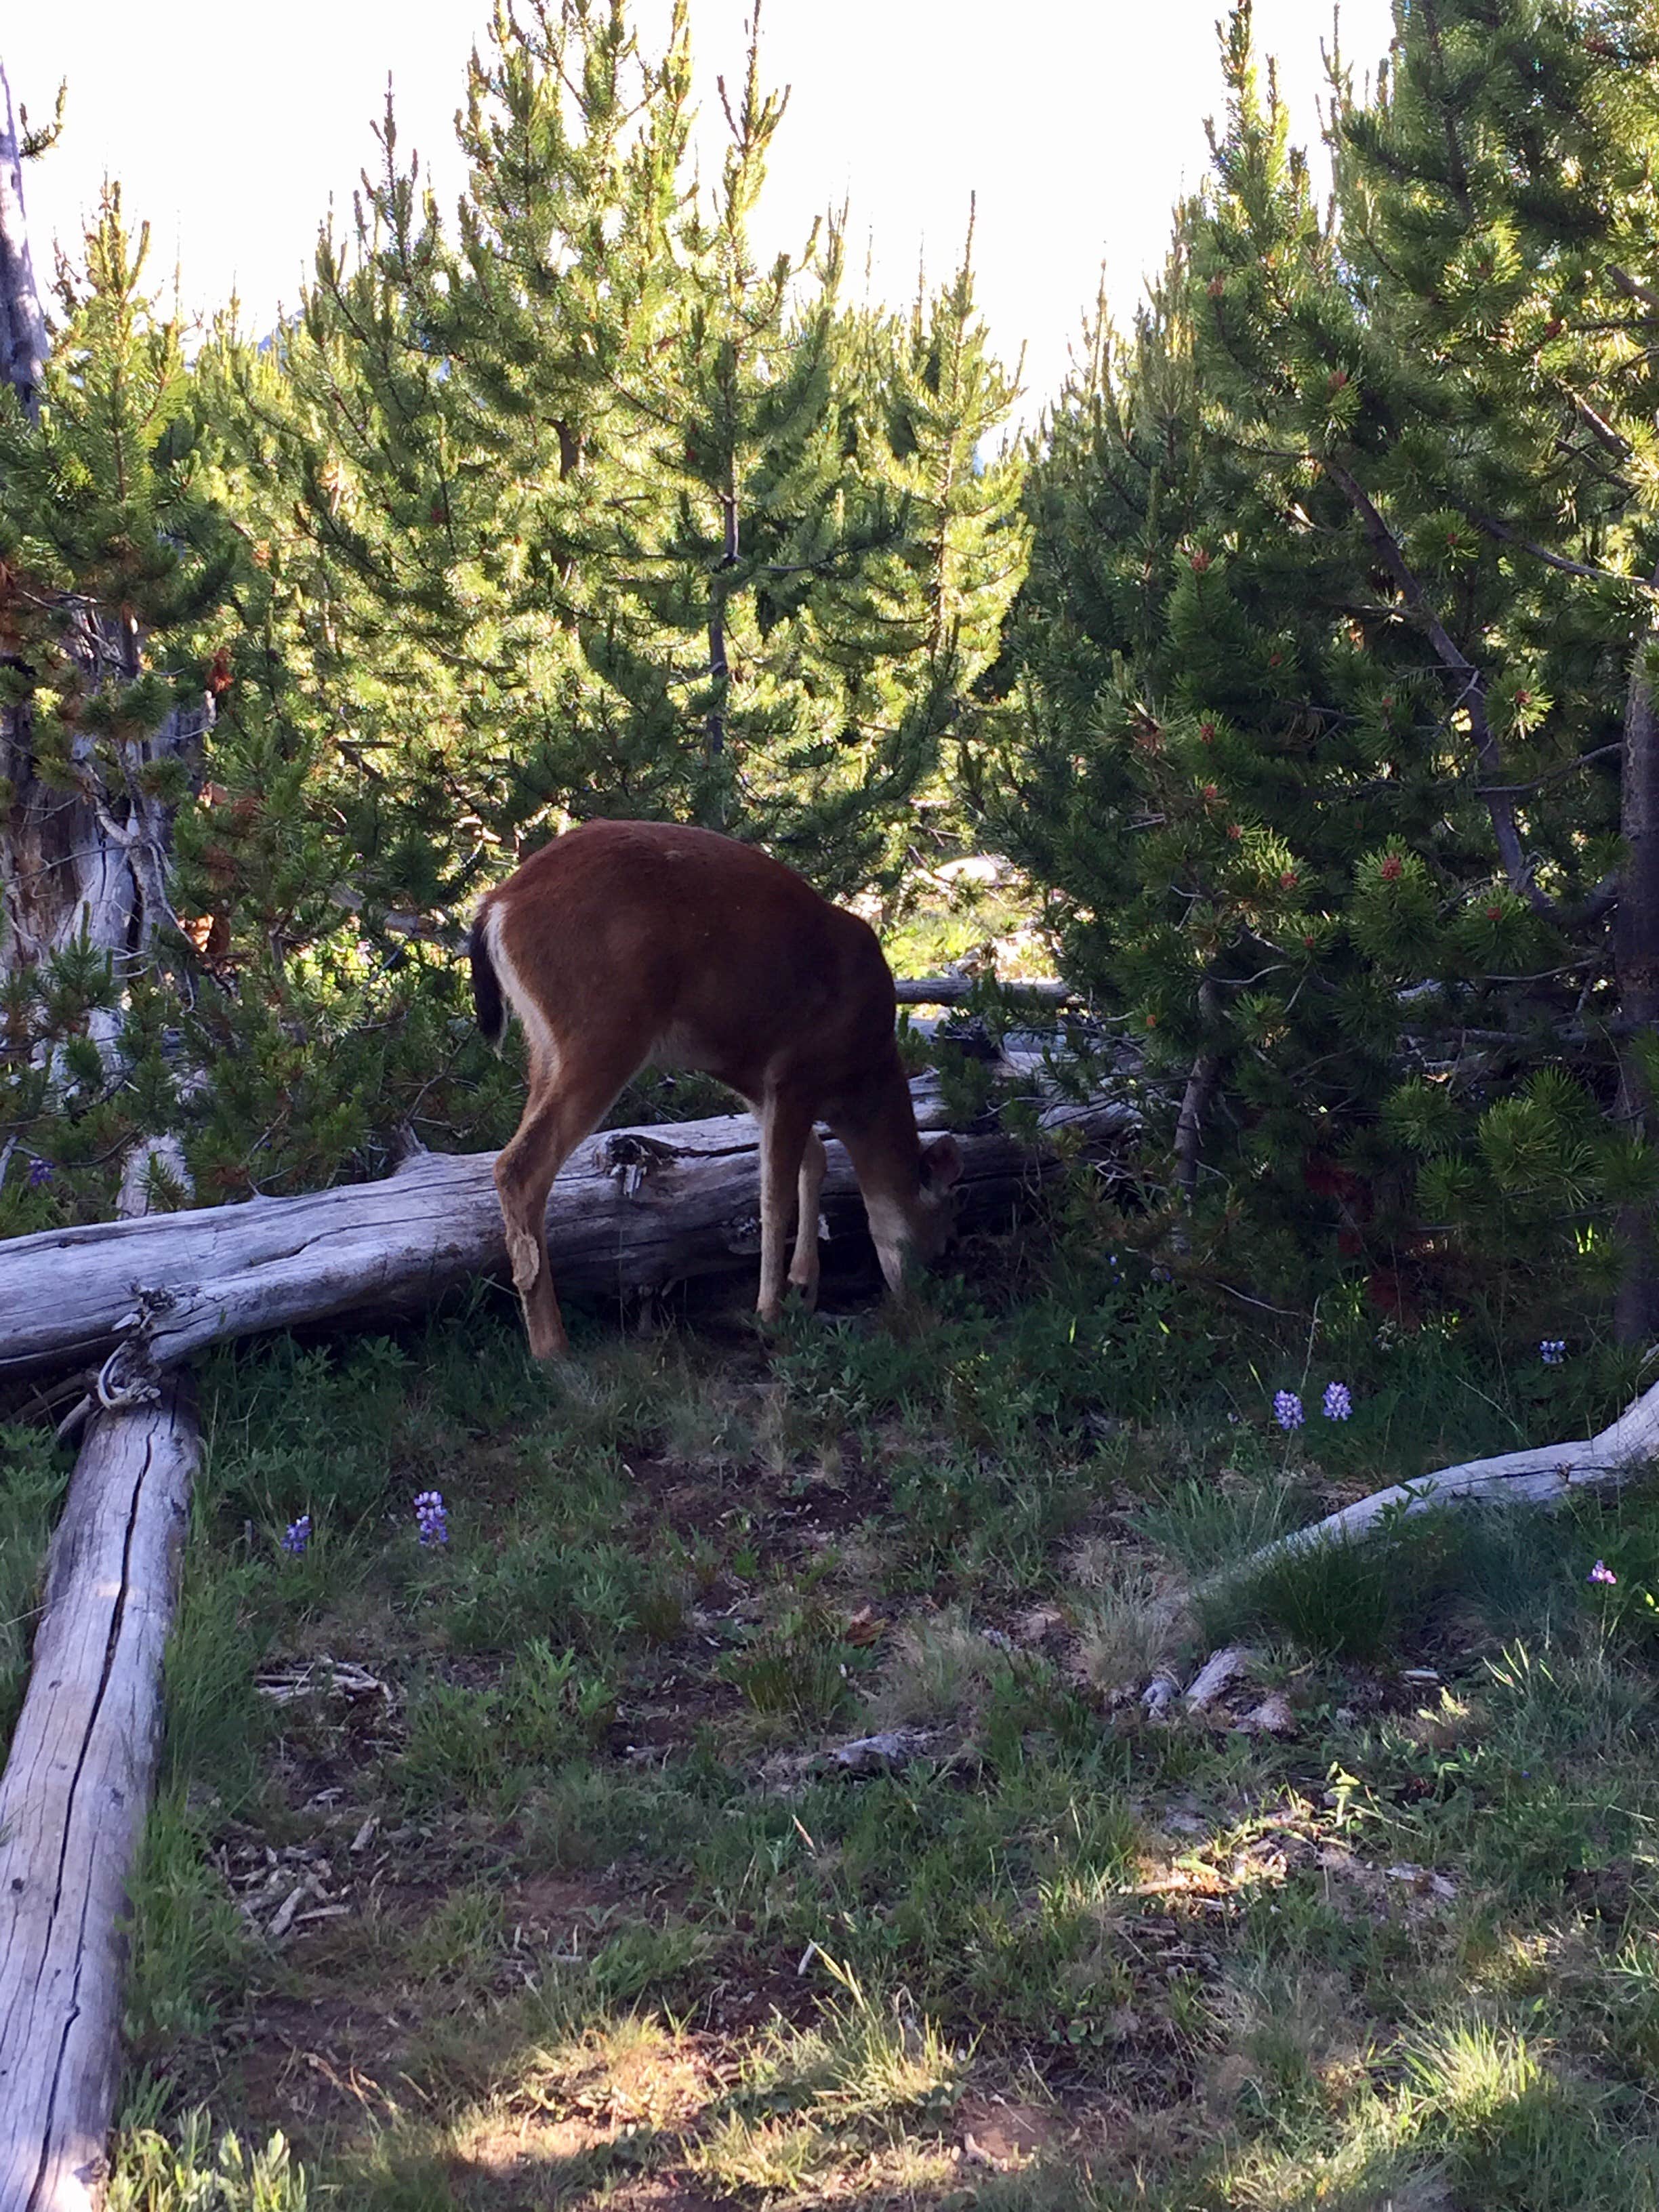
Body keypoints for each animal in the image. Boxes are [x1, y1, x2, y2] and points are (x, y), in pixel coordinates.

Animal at [469, 818, 964, 1358]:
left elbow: (813, 1161)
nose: (922, 1310)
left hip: (544, 1045)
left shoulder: (756, 1077)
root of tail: (498, 905)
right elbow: (774, 1193)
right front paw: (770, 1314)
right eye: (942, 1245)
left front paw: (804, 1287)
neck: (860, 1074)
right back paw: (552, 1347)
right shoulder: (797, 1070)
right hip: (604, 1027)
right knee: (521, 1166)